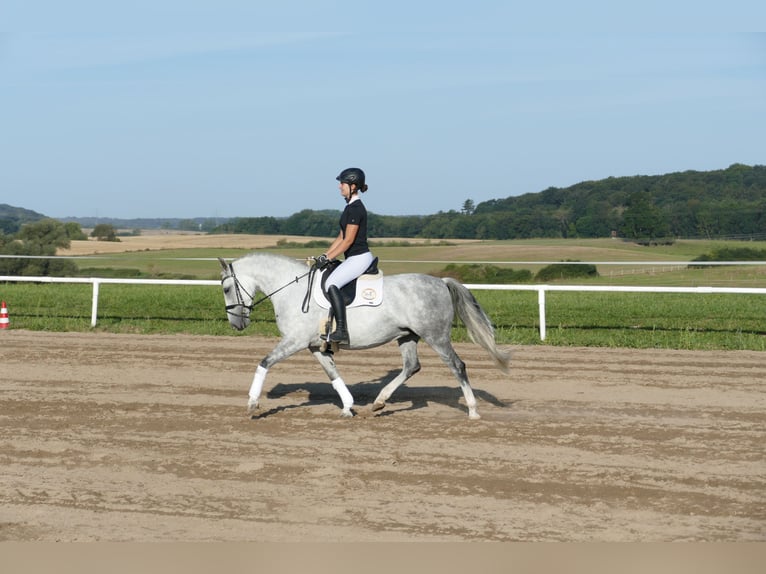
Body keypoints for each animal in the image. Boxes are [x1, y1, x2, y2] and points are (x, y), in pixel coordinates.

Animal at [219, 254, 512, 420]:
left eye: (225, 288)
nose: (236, 325)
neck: (292, 290)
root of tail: (441, 282)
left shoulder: (295, 341)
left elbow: (264, 362)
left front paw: (252, 404)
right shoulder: (315, 346)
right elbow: (333, 374)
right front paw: (348, 407)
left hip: (436, 336)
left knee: (457, 365)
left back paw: (472, 411)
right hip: (407, 336)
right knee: (411, 366)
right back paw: (379, 402)